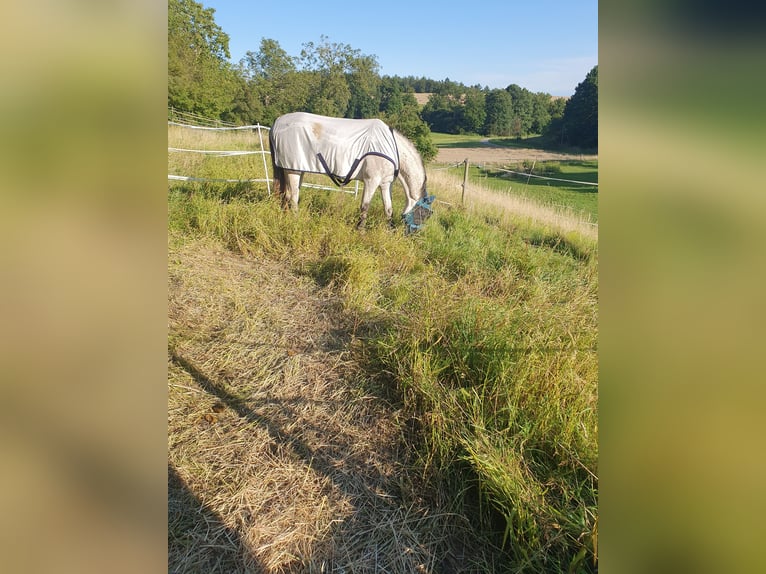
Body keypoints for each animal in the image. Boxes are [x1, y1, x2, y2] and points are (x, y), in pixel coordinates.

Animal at [270, 112, 428, 230]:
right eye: (424, 214)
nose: (412, 236)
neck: (392, 148)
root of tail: (277, 122)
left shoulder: (385, 184)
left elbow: (388, 209)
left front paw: (388, 231)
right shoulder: (371, 181)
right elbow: (365, 206)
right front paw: (360, 230)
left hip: (296, 169)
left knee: (287, 195)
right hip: (292, 171)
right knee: (293, 198)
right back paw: (296, 220)